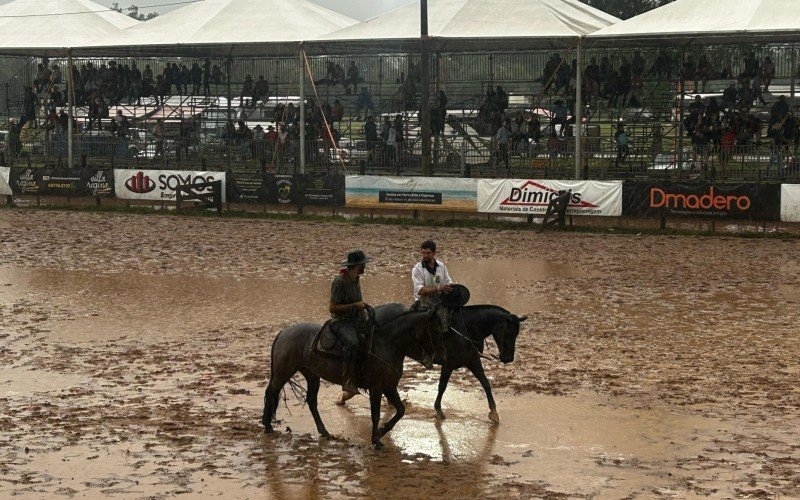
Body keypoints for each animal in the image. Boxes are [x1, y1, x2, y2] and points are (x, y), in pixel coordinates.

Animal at [262, 308, 450, 450]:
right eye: (436, 330)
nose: (443, 357)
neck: (388, 344)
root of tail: (283, 333)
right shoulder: (376, 388)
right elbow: (375, 414)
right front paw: (376, 440)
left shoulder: (389, 387)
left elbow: (400, 410)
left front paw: (381, 431)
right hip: (284, 372)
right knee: (271, 392)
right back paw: (267, 425)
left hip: (311, 375)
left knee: (311, 401)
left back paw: (324, 431)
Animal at [376, 302, 528, 424]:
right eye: (508, 332)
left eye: (517, 334)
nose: (508, 358)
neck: (465, 329)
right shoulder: (448, 365)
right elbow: (442, 387)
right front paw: (438, 410)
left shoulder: (473, 361)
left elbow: (485, 383)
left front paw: (494, 413)